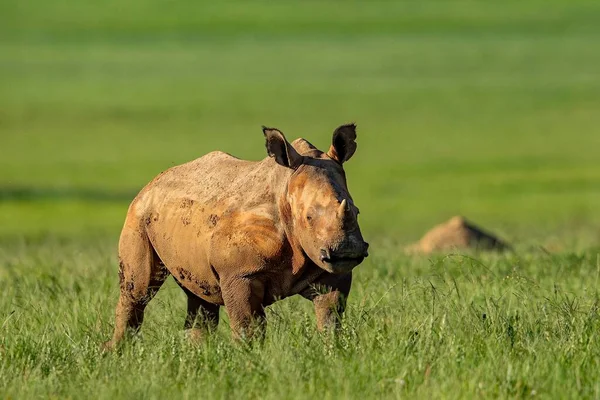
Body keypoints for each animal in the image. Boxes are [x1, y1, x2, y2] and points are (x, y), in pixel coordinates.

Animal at [103, 123, 368, 348]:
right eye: (309, 218)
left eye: (356, 211)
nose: (347, 250)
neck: (285, 192)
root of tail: (152, 182)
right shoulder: (240, 273)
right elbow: (248, 326)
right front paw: (249, 361)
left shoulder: (331, 271)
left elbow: (330, 319)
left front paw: (332, 351)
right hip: (139, 212)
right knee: (137, 291)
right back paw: (118, 352)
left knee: (200, 298)